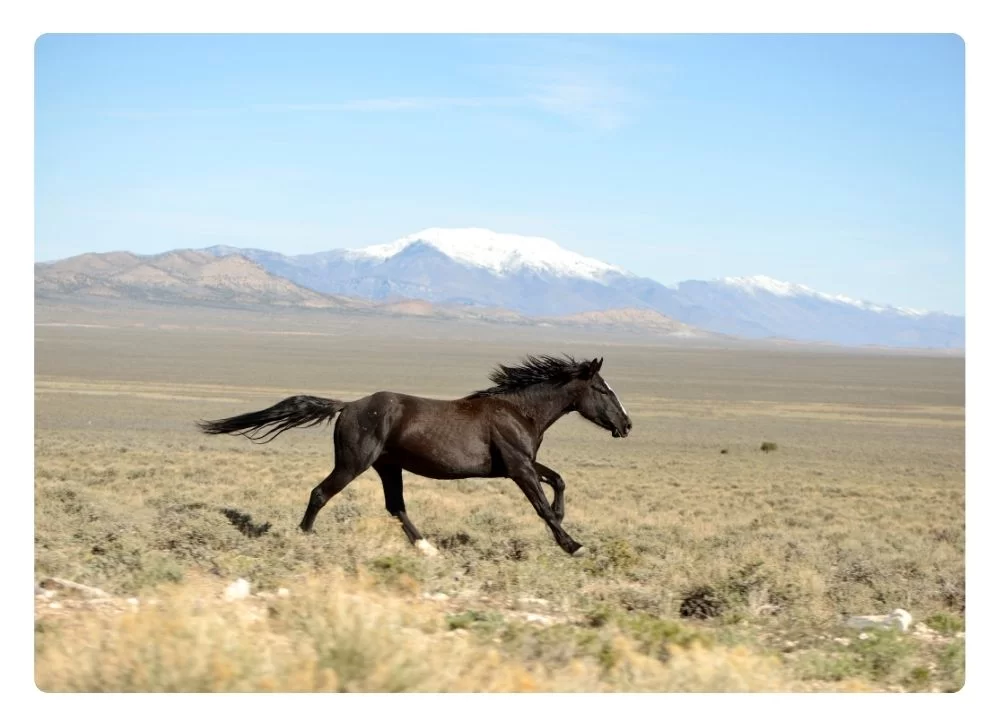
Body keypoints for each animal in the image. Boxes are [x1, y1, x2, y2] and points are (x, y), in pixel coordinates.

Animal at [196, 356, 632, 556]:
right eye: (603, 390)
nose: (626, 425)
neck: (517, 410)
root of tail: (348, 406)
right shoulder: (517, 467)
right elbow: (541, 505)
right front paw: (572, 544)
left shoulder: (519, 464)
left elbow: (558, 479)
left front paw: (563, 520)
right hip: (353, 463)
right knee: (320, 493)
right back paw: (303, 538)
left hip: (388, 466)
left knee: (396, 507)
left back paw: (427, 548)